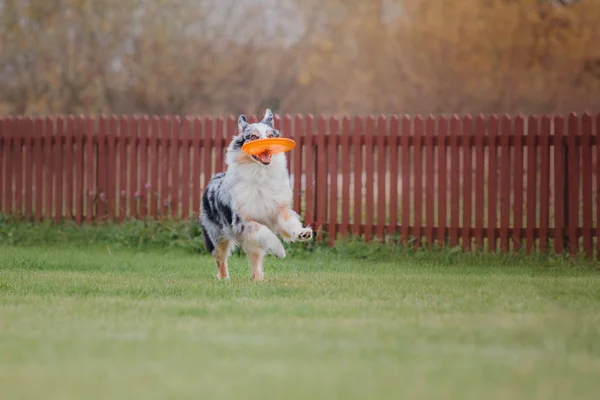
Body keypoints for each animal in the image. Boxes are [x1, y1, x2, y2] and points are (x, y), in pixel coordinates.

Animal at [200, 108, 314, 280]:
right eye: (253, 137)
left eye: (271, 135)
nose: (268, 145)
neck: (260, 174)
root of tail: (215, 178)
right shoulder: (243, 221)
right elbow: (264, 231)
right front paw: (279, 250)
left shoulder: (279, 208)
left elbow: (289, 221)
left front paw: (302, 233)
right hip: (216, 236)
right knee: (220, 259)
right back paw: (224, 279)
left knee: (255, 262)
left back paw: (258, 280)